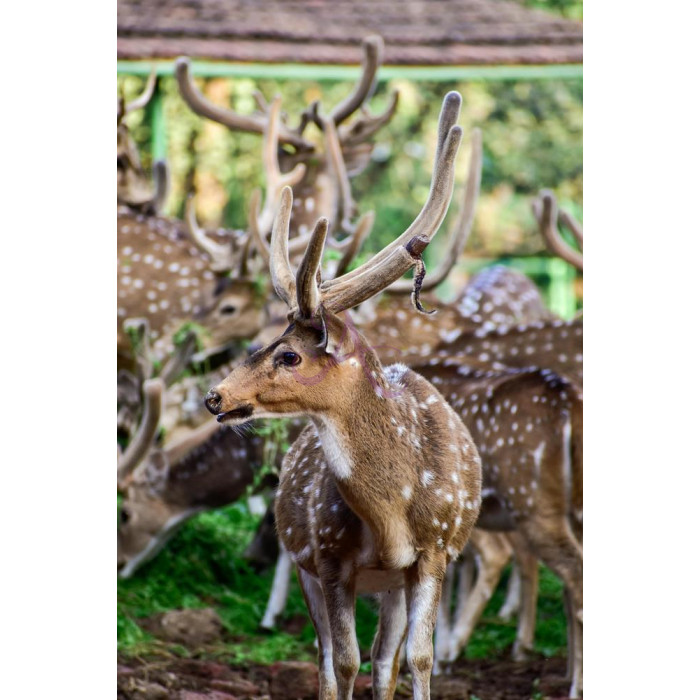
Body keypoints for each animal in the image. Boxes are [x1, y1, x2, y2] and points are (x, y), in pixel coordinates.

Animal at [203, 92, 483, 700]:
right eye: (269, 341)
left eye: (290, 355)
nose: (215, 396)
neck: (394, 515)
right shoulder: (328, 554)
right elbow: (345, 660)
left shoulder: (435, 553)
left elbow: (416, 659)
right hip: (305, 561)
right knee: (328, 659)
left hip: (393, 582)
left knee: (385, 662)